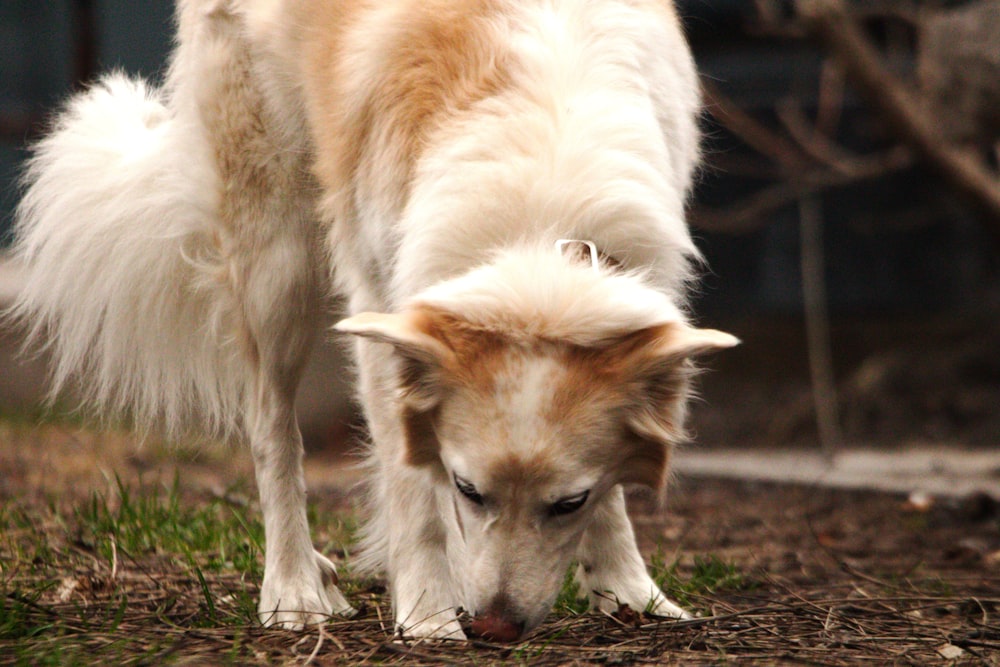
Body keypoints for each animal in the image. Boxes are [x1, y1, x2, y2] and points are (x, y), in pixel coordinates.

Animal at [7, 0, 740, 644]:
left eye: (568, 503)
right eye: (470, 490)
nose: (495, 629)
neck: (535, 229)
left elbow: (612, 491)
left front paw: (631, 594)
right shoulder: (387, 329)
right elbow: (414, 494)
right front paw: (428, 615)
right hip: (279, 265)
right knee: (273, 432)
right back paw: (295, 591)